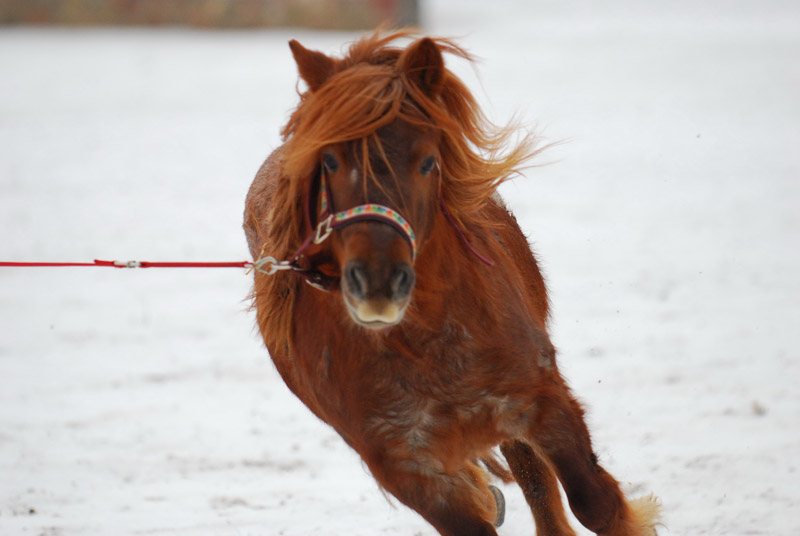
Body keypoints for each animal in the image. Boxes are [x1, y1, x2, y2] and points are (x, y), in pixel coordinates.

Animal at [245, 30, 664, 536]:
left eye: (428, 162)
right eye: (329, 160)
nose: (378, 284)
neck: (424, 343)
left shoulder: (541, 401)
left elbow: (596, 503)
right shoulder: (410, 469)